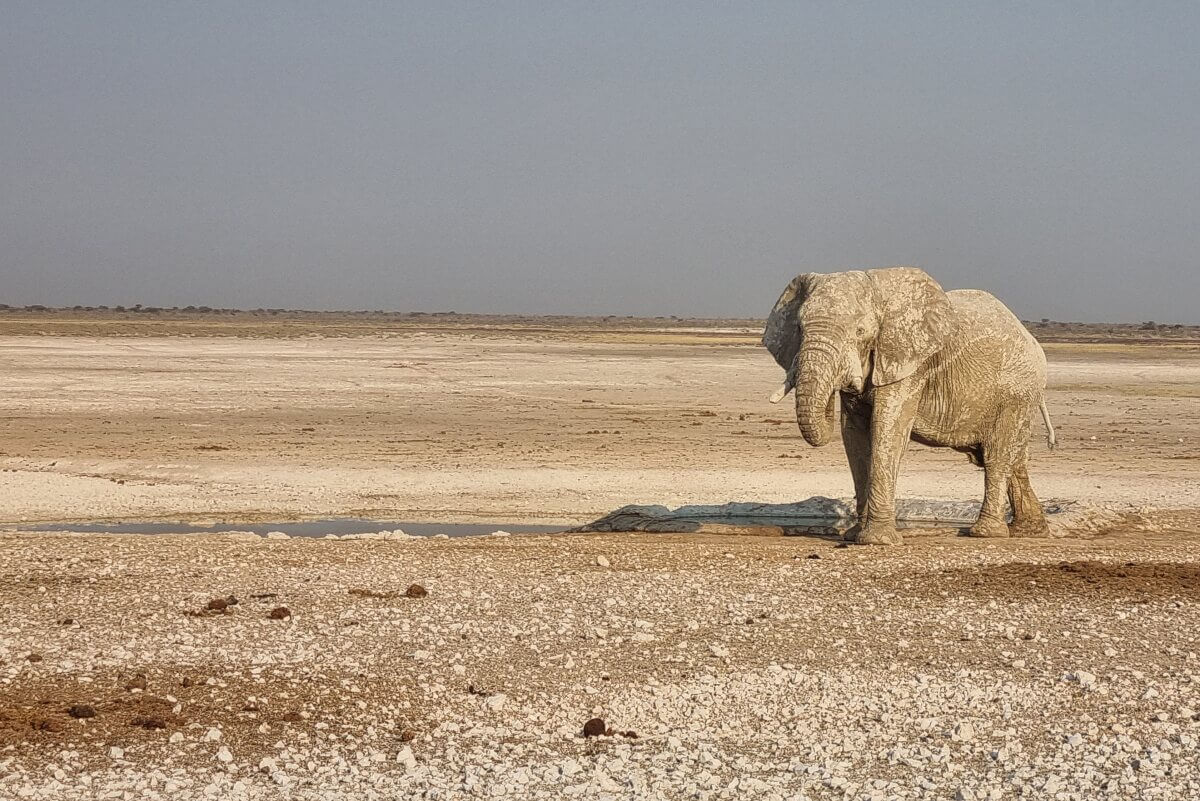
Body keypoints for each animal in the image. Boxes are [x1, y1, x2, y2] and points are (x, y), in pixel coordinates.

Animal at [761, 266, 1056, 545]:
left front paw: (876, 541)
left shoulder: (910, 363)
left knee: (997, 454)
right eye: (800, 329)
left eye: (860, 331)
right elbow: (855, 436)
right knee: (1013, 457)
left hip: (1016, 393)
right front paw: (854, 535)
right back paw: (1029, 531)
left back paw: (986, 533)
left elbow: (888, 429)